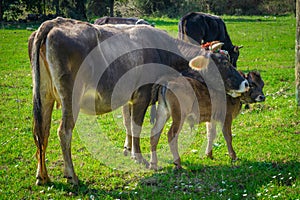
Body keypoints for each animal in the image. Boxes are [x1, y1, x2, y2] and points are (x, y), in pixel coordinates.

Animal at [28, 18, 248, 185]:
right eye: (224, 62)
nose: (245, 82)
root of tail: (53, 23)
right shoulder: (142, 95)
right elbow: (136, 126)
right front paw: (139, 157)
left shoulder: (128, 96)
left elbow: (127, 123)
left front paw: (129, 151)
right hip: (70, 97)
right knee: (63, 131)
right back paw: (71, 175)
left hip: (44, 94)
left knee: (42, 131)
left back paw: (42, 175)